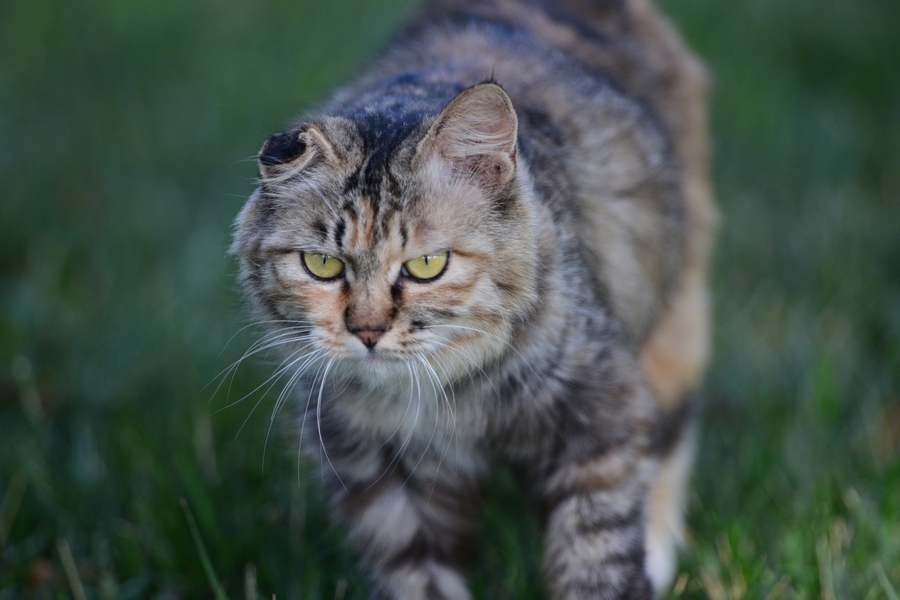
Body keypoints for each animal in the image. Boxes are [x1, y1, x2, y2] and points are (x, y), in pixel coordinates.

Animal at [232, 1, 716, 596]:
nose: (367, 331)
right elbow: (421, 577)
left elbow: (597, 563)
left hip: (674, 316)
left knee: (671, 436)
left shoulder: (597, 428)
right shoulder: (386, 480)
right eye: (322, 266)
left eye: (427, 265)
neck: (451, 396)